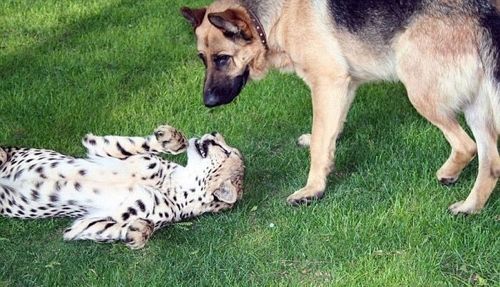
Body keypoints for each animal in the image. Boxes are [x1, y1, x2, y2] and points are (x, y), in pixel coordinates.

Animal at [180, 0, 500, 214]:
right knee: (490, 160)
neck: (276, 15)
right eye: (202, 59)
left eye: (222, 58)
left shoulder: (327, 83)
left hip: (420, 91)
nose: (207, 103)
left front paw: (313, 188)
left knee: (467, 146)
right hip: (475, 108)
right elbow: (330, 130)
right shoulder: (344, 85)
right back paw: (470, 207)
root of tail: (483, 13)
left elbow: (321, 141)